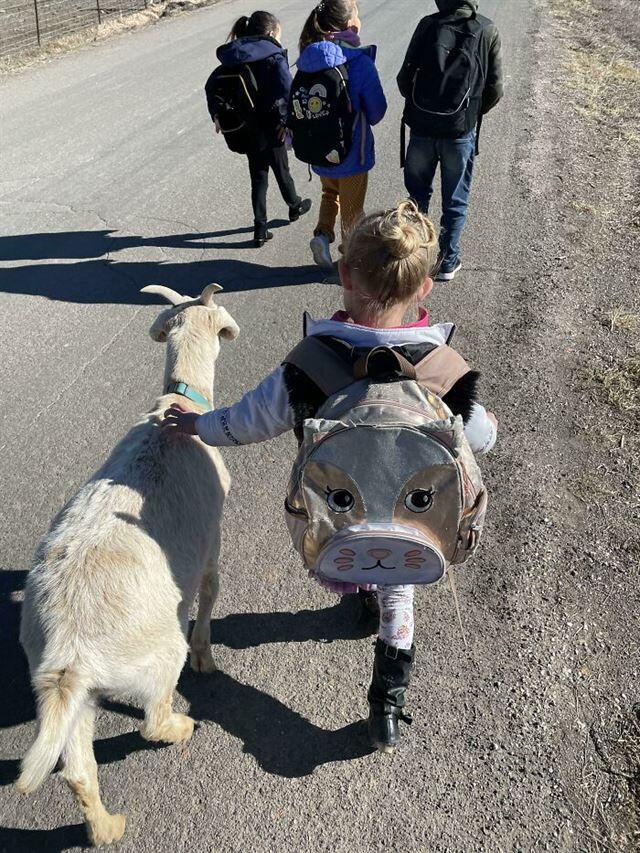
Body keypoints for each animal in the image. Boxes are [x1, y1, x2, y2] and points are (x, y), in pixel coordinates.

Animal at [17, 282, 239, 844]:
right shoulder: (212, 536)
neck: (178, 406)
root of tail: (68, 650)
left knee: (76, 768)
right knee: (152, 720)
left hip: (72, 692)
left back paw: (105, 829)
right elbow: (211, 589)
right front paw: (207, 657)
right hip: (155, 654)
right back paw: (182, 726)